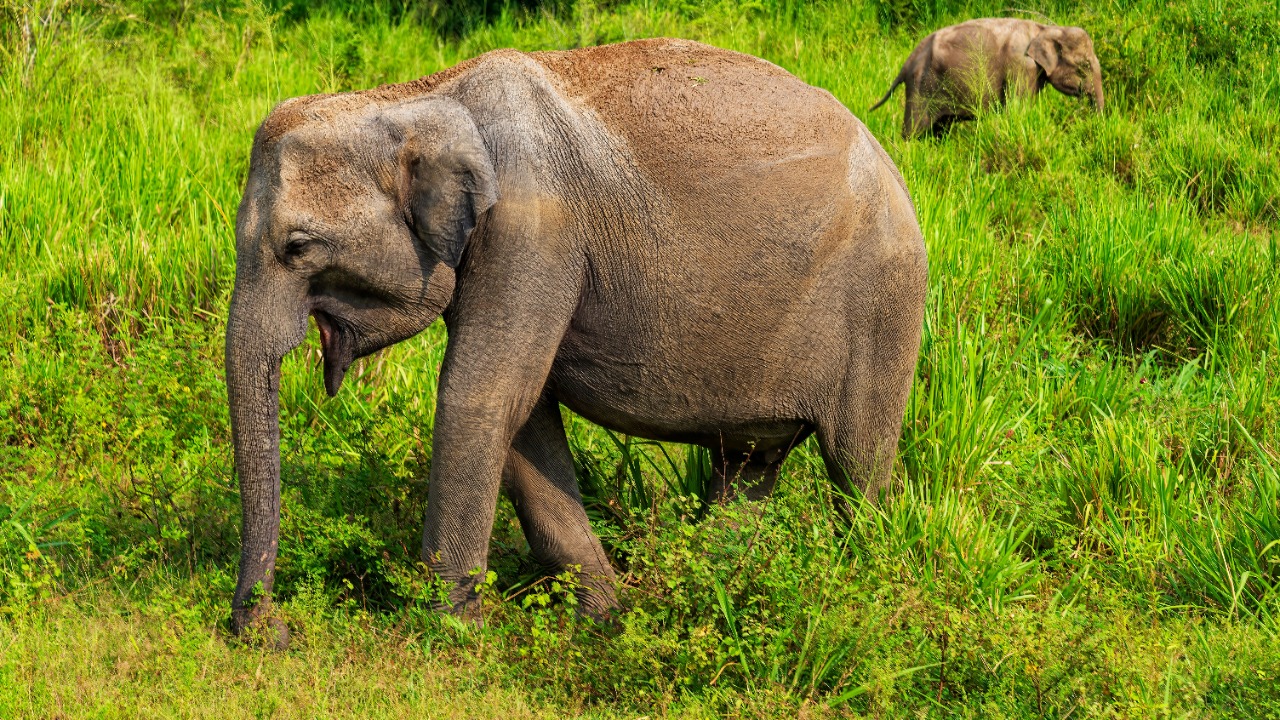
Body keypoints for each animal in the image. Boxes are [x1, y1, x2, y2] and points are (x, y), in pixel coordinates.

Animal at [226, 37, 927, 640]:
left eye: (298, 246)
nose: (270, 632)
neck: (418, 95)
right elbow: (522, 416)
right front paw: (604, 622)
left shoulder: (533, 230)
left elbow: (480, 397)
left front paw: (450, 634)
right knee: (749, 468)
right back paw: (719, 593)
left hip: (886, 305)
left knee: (858, 466)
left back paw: (863, 589)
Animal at [870, 18, 1104, 138]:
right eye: (1084, 66)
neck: (1044, 29)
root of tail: (908, 61)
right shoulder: (1021, 67)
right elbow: (1017, 110)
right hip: (921, 87)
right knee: (915, 128)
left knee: (940, 128)